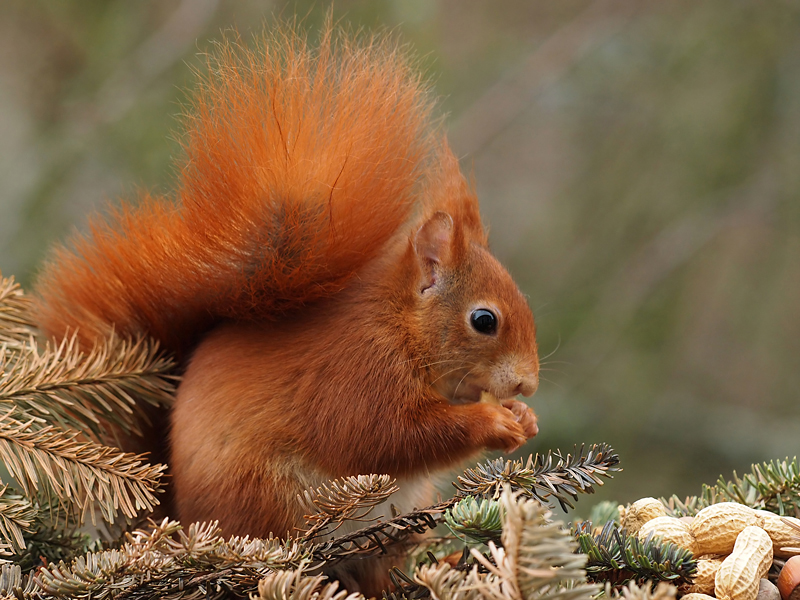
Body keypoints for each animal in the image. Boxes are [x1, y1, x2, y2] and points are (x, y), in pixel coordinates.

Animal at [34, 24, 540, 592]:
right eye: (484, 320)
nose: (528, 384)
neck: (400, 326)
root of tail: (179, 519)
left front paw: (525, 417)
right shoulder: (357, 374)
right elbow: (388, 437)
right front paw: (495, 423)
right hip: (266, 500)